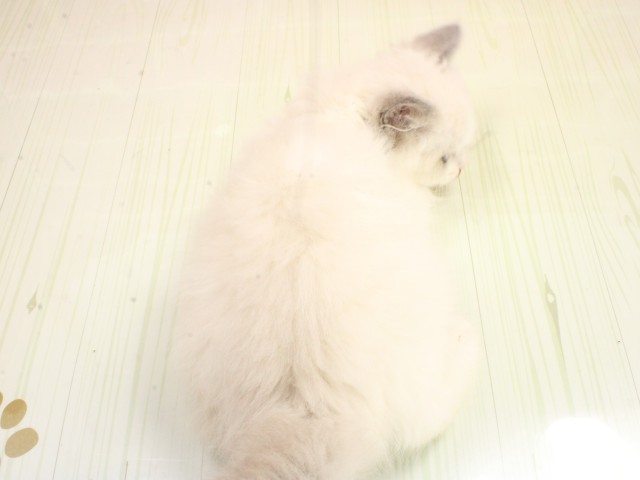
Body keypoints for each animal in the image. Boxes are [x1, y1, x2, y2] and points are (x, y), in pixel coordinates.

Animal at [178, 24, 480, 480]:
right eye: (445, 157)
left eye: (463, 149)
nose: (461, 170)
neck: (338, 116)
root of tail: (308, 412)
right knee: (426, 419)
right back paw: (466, 338)